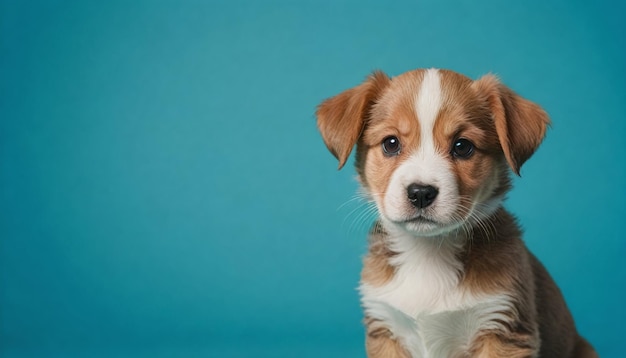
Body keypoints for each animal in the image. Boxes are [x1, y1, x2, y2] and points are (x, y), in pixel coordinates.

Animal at [316, 68, 596, 356]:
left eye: (462, 146)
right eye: (390, 143)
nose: (420, 193)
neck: (427, 253)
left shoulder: (502, 328)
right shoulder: (386, 327)